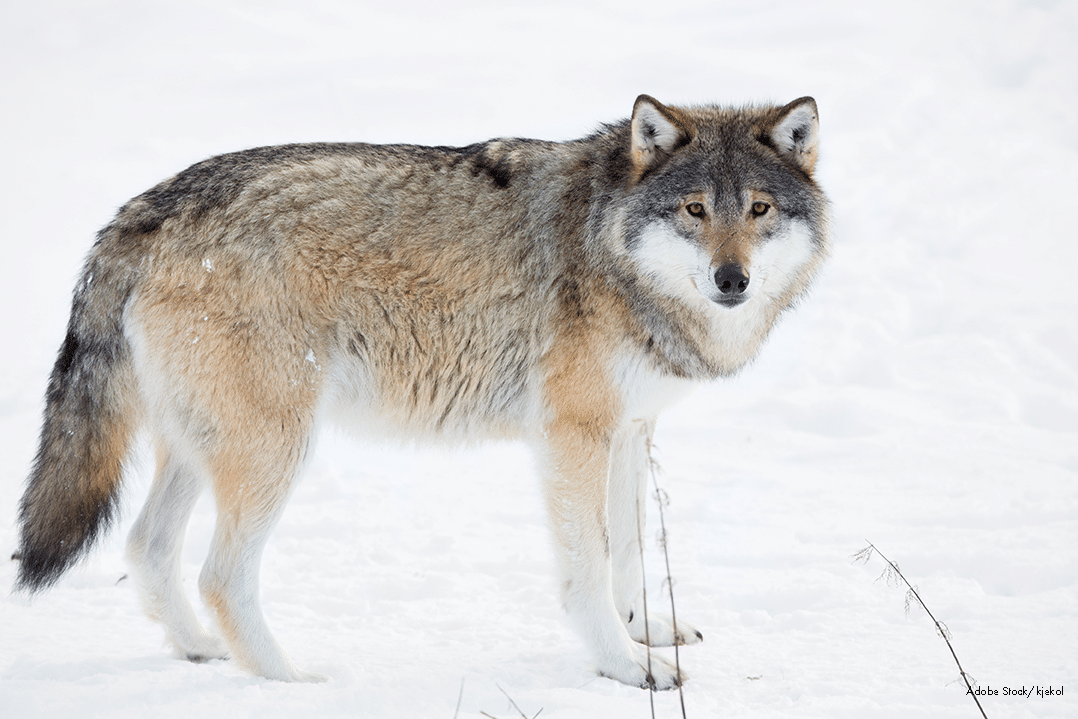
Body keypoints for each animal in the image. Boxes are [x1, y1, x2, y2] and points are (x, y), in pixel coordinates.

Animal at [14, 95, 829, 689]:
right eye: (695, 210)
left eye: (758, 209)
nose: (733, 280)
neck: (611, 250)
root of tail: (140, 210)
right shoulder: (573, 434)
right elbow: (591, 564)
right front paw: (625, 667)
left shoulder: (630, 430)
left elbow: (631, 550)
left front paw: (646, 631)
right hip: (275, 448)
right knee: (219, 574)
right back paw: (291, 681)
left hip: (201, 445)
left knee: (148, 547)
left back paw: (198, 650)